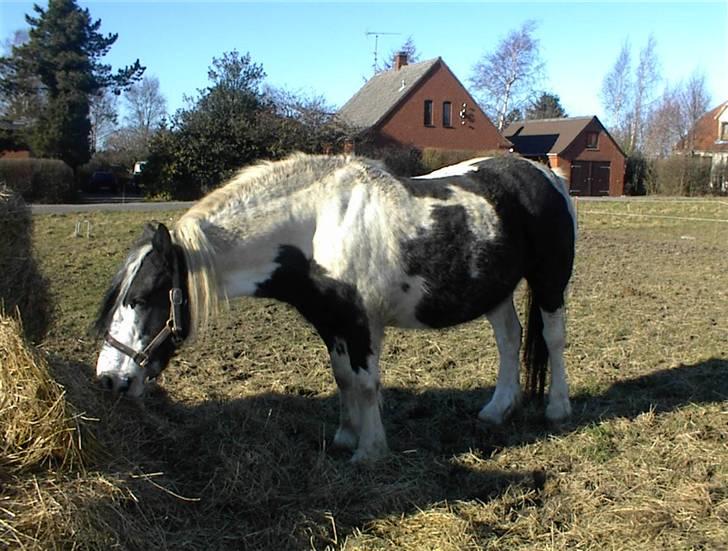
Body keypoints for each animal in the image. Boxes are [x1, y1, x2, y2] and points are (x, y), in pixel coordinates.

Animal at [94, 153, 576, 464]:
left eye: (142, 297)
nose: (109, 379)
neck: (317, 226)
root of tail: (545, 174)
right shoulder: (329, 322)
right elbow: (343, 378)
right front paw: (346, 436)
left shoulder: (361, 324)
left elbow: (366, 383)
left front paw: (371, 451)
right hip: (495, 290)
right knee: (510, 341)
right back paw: (497, 410)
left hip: (550, 281)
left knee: (552, 339)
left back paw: (557, 410)